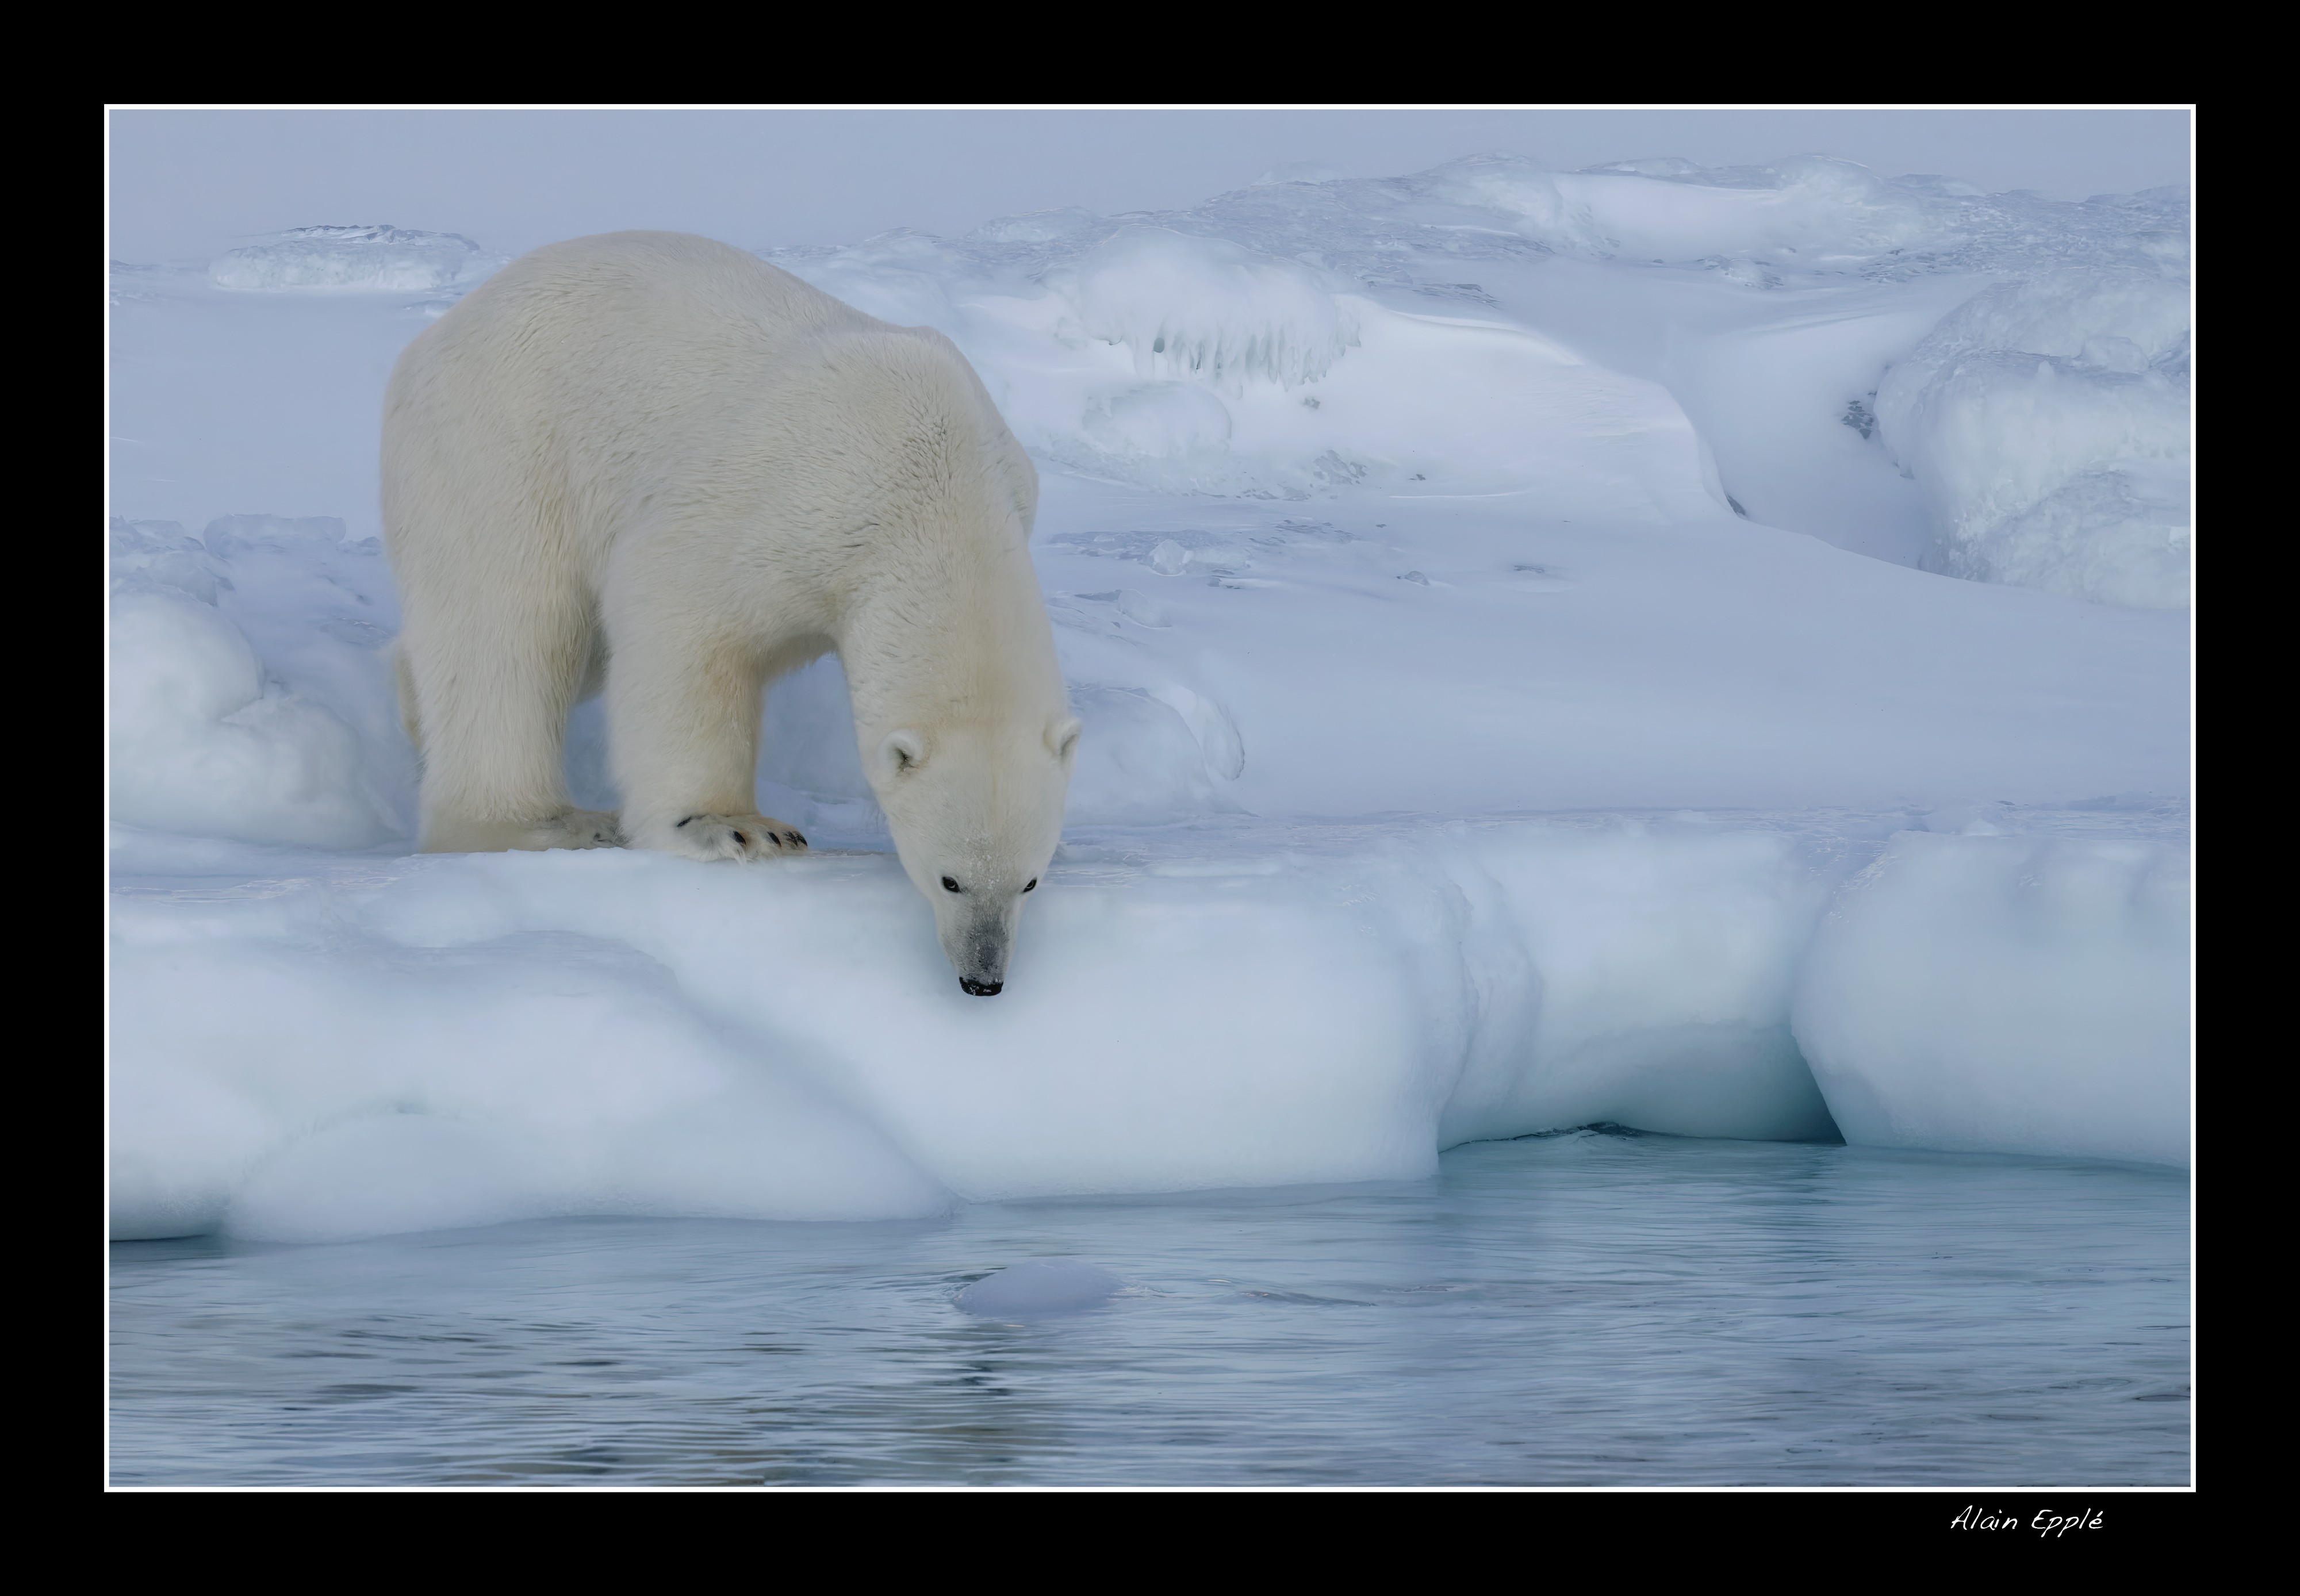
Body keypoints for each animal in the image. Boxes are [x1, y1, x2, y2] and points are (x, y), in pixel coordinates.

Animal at [384, 231, 1076, 993]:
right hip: (504, 444)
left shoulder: (1004, 483)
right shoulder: (788, 501)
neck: (937, 477)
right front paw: (738, 827)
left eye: (1029, 881)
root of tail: (436, 336)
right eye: (950, 878)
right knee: (512, 630)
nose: (983, 976)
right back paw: (541, 824)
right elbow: (676, 607)